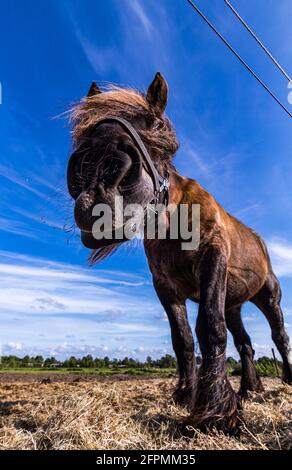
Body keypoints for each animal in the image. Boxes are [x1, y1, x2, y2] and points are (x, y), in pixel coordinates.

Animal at [66, 70, 292, 434]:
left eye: (157, 123)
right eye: (85, 129)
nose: (97, 180)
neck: (174, 219)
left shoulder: (212, 261)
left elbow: (209, 329)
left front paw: (214, 410)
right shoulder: (165, 286)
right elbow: (183, 340)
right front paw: (187, 395)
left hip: (269, 298)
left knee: (280, 337)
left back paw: (285, 379)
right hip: (235, 304)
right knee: (245, 343)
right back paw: (249, 388)